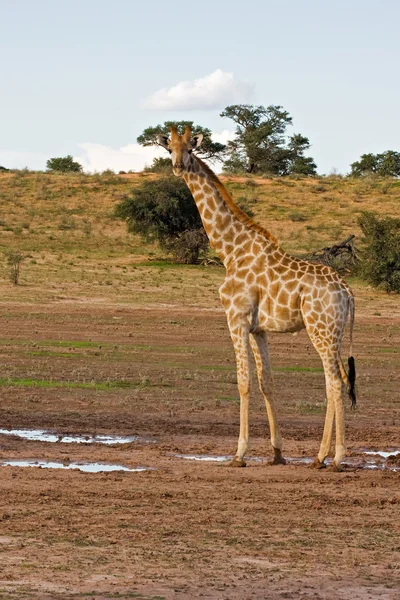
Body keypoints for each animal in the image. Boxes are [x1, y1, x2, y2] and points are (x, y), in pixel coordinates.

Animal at [157, 126, 356, 472]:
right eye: (170, 148)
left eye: (191, 149)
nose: (179, 166)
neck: (230, 250)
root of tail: (347, 293)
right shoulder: (258, 329)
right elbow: (266, 382)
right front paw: (277, 452)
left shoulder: (235, 318)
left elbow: (243, 382)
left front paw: (239, 454)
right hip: (336, 332)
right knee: (339, 380)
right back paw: (321, 457)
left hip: (321, 329)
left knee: (334, 382)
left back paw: (333, 458)